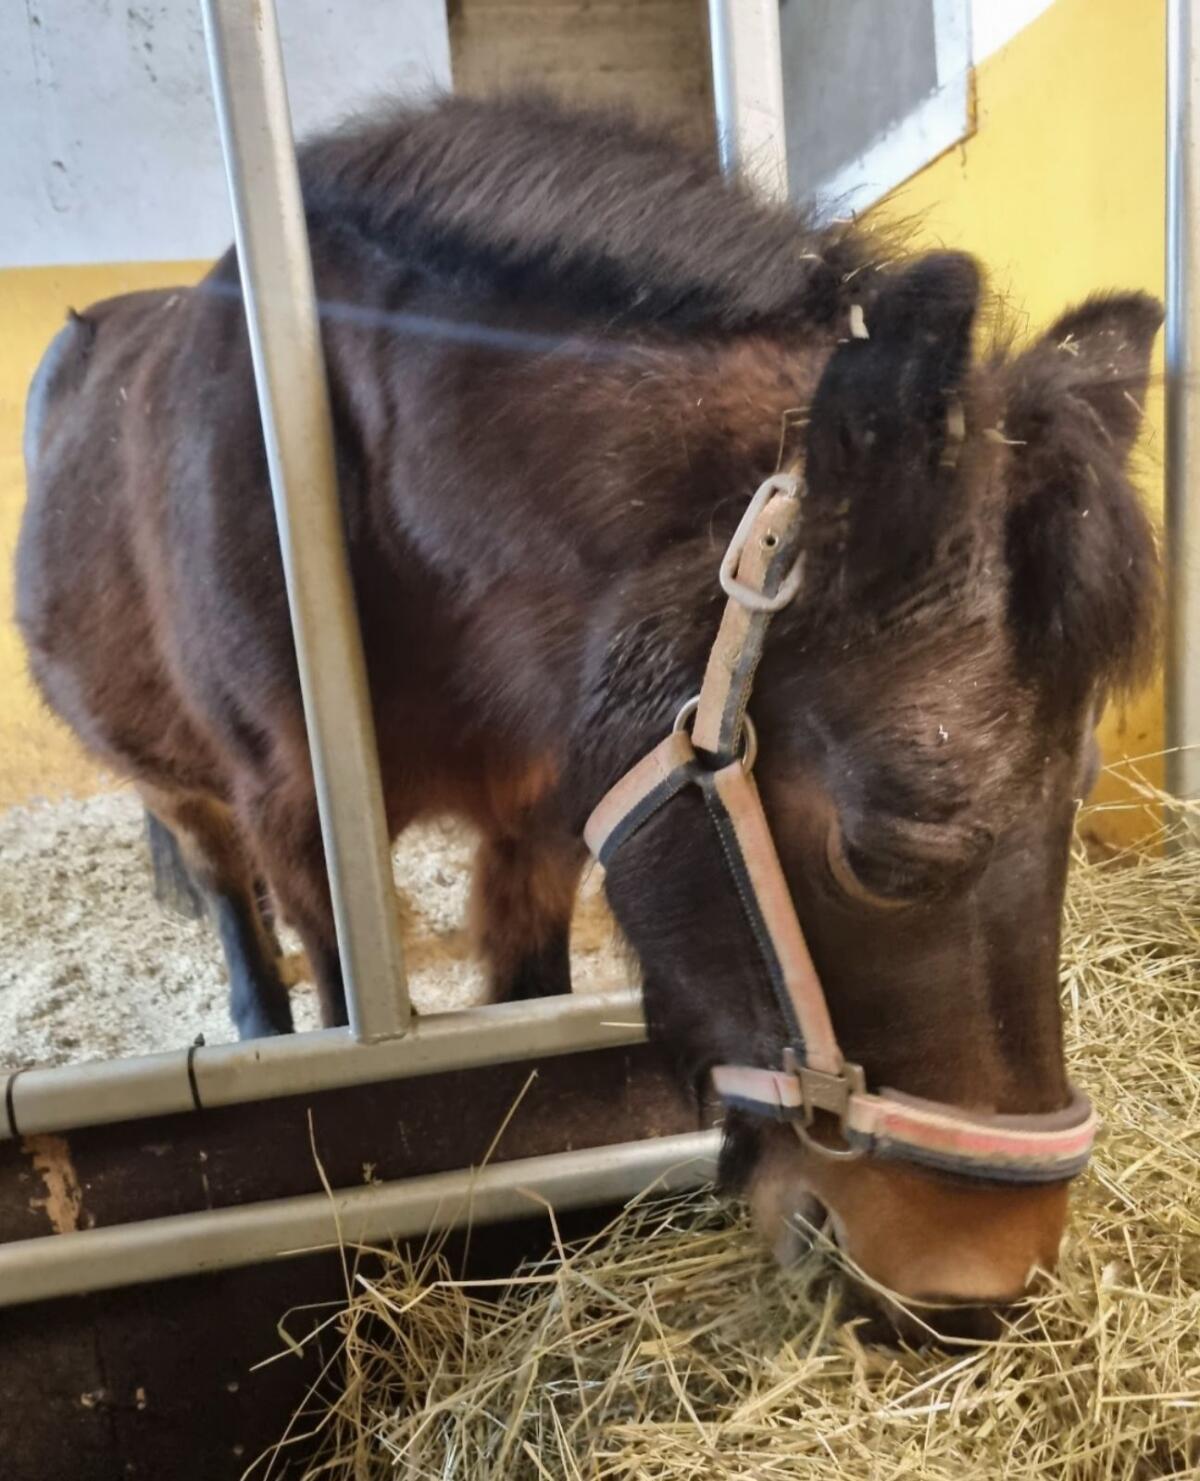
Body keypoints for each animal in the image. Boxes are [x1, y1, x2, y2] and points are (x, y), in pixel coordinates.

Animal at [17, 95, 1160, 1336]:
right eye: (884, 853)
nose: (981, 1290)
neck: (359, 482)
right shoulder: (307, 832)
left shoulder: (541, 818)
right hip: (183, 791)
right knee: (226, 896)